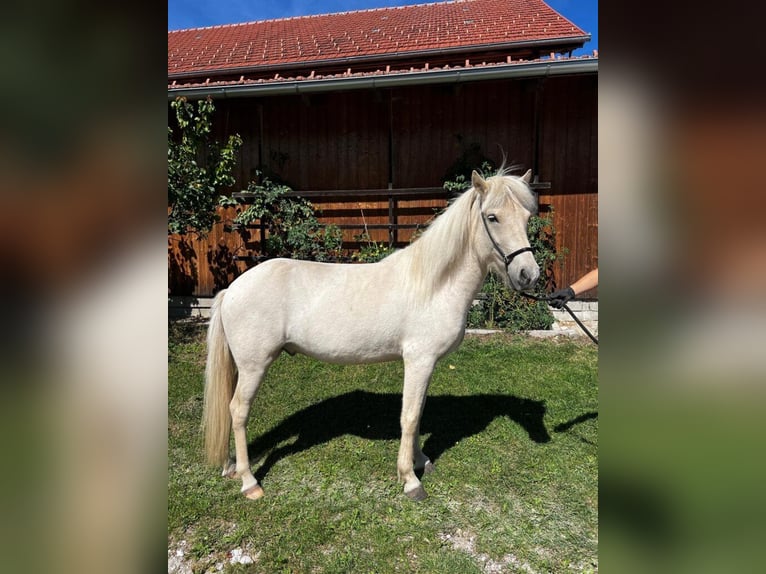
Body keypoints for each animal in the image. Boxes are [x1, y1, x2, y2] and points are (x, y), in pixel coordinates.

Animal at [203, 168, 540, 501]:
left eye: (526, 216)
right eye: (493, 217)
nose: (529, 274)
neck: (433, 285)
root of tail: (231, 290)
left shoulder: (425, 364)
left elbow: (418, 413)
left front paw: (421, 461)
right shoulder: (418, 360)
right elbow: (409, 416)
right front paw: (410, 480)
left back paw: (231, 468)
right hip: (254, 366)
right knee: (238, 411)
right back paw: (249, 481)